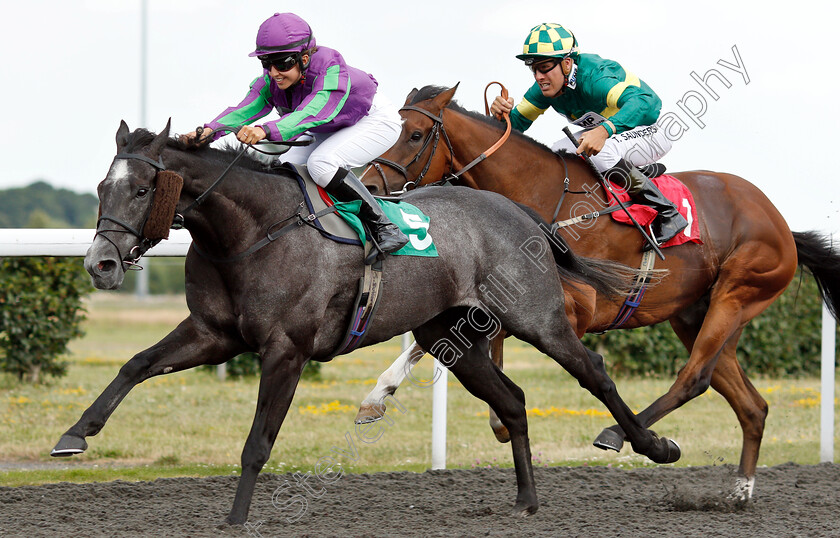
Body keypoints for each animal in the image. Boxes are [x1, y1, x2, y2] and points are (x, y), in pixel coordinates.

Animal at [47, 119, 684, 520]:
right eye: (102, 186)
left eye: (143, 187)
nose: (101, 263)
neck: (251, 231)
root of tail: (519, 210)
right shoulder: (213, 334)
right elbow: (136, 364)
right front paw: (75, 434)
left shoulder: (287, 349)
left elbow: (258, 442)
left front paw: (236, 518)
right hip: (451, 336)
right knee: (513, 400)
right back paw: (526, 501)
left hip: (537, 318)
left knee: (593, 372)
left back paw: (653, 446)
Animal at [354, 84, 840, 498]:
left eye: (415, 135)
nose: (370, 187)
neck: (543, 197)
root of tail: (781, 223)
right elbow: (436, 341)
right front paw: (377, 397)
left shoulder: (573, 307)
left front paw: (497, 415)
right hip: (694, 315)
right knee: (750, 404)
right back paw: (740, 490)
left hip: (736, 294)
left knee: (693, 378)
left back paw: (623, 435)